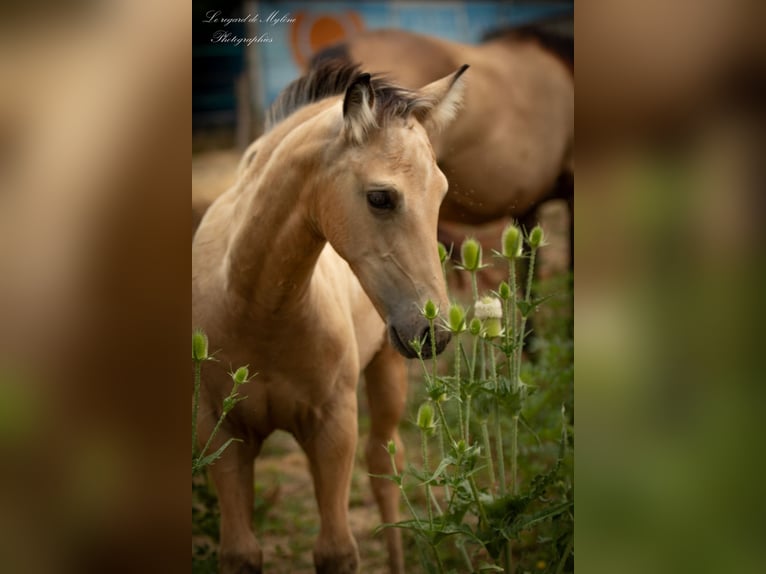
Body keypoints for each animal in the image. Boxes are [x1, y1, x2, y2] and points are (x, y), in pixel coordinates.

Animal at [192, 60, 467, 574]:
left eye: (441, 192)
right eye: (380, 197)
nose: (434, 333)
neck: (256, 308)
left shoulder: (333, 426)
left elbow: (336, 550)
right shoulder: (220, 432)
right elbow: (241, 552)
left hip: (387, 369)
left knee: (383, 467)